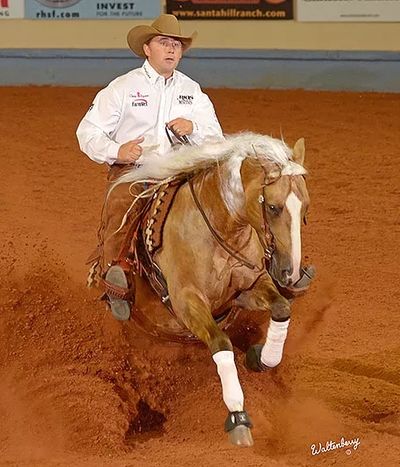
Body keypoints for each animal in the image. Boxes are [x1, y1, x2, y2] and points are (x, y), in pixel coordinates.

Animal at [115, 133, 310, 448]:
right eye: (273, 207)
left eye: (305, 208)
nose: (290, 272)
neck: (219, 230)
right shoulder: (187, 301)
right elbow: (220, 343)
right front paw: (238, 417)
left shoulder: (248, 288)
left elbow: (281, 308)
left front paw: (262, 357)